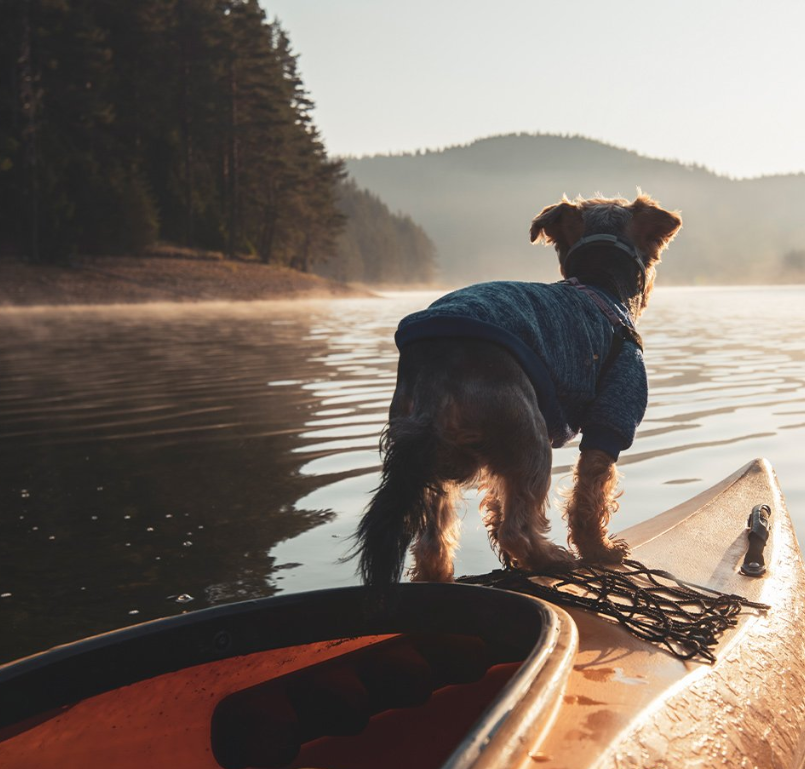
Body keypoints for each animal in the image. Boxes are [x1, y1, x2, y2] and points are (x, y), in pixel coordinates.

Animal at [354, 192, 680, 584]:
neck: (601, 283)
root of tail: (437, 371)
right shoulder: (614, 414)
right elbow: (590, 495)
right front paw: (599, 550)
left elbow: (497, 504)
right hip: (530, 438)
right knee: (516, 527)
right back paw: (549, 558)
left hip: (436, 461)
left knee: (434, 541)